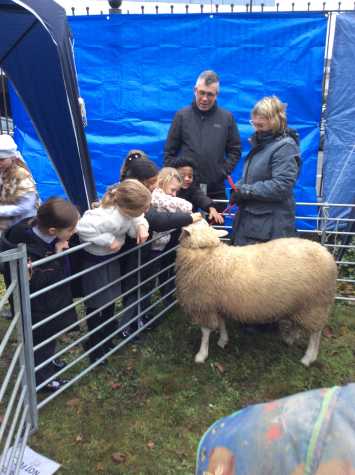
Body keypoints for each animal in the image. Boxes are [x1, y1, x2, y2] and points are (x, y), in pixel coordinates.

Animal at [177, 221, 338, 366]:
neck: (206, 254)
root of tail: (328, 255)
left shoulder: (203, 304)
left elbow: (205, 332)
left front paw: (201, 355)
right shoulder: (217, 303)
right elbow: (222, 323)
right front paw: (223, 340)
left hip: (316, 303)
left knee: (315, 334)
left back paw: (308, 357)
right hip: (302, 304)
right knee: (300, 325)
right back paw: (290, 339)